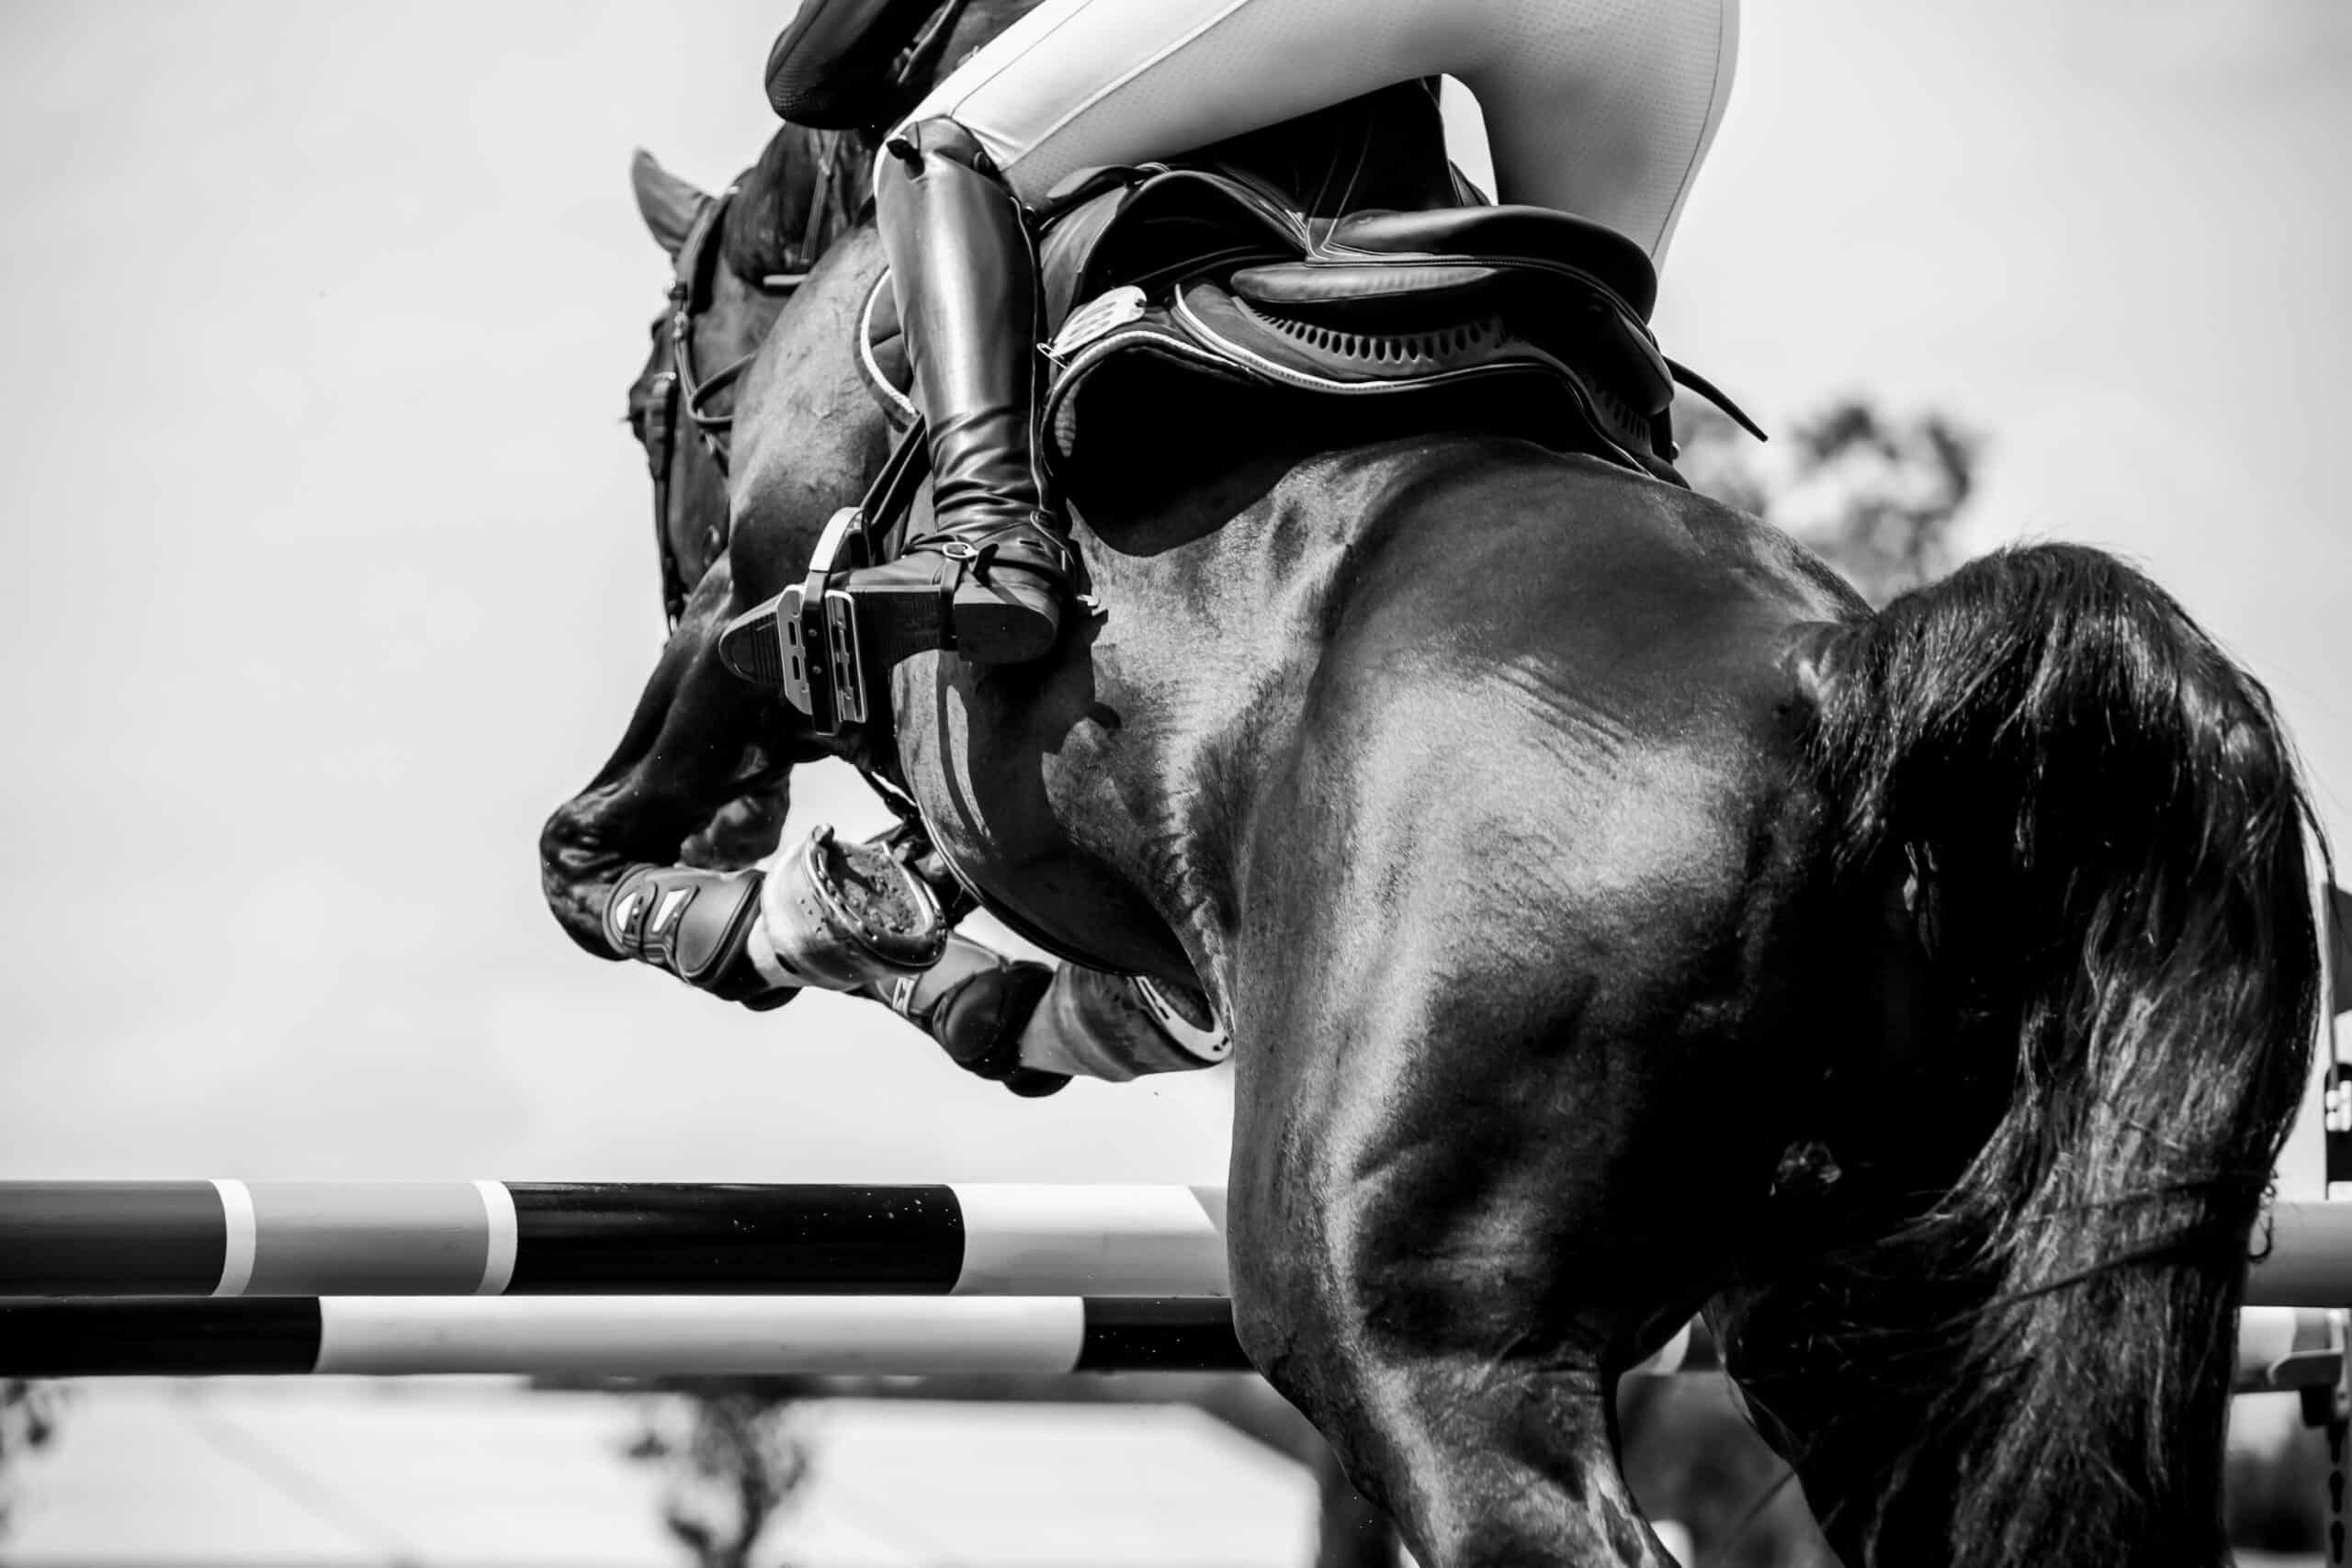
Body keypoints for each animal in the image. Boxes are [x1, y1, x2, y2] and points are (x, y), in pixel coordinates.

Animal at [550, 92, 2333, 1568]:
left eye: (648, 410)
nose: (761, 821)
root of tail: (1850, 677)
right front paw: (899, 939)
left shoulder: (757, 602)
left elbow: (594, 838)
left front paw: (734, 910)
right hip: (1864, 1314)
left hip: (1409, 1322)